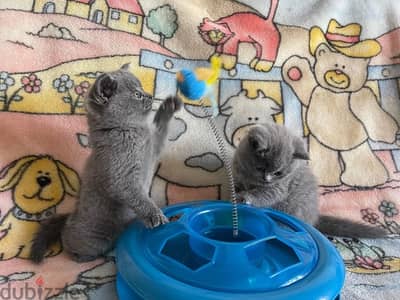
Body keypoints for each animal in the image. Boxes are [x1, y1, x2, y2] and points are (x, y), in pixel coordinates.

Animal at [31, 63, 181, 262]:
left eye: (142, 89)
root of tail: (71, 216)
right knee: (71, 243)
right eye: (137, 94)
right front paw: (155, 215)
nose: (149, 95)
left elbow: (161, 129)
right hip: (93, 238)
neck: (130, 131)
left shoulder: (153, 147)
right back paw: (93, 256)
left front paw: (169, 105)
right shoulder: (121, 177)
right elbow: (138, 197)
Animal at [234, 121, 388, 237]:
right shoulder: (239, 176)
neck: (250, 178)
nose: (267, 179)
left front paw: (245, 197)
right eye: (260, 168)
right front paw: (236, 194)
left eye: (278, 173)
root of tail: (314, 218)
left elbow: (265, 194)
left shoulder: (280, 187)